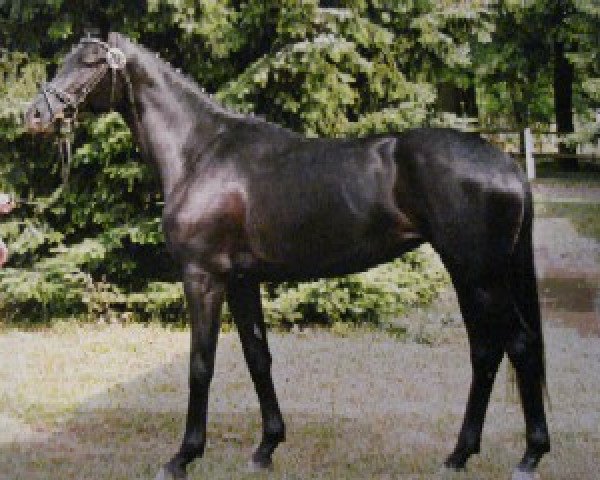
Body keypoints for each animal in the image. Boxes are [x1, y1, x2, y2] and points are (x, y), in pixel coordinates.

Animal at [25, 33, 552, 480]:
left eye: (90, 63)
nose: (34, 115)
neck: (201, 151)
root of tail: (505, 163)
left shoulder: (203, 276)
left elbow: (201, 363)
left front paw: (183, 457)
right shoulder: (242, 280)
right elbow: (258, 356)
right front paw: (266, 447)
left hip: (481, 276)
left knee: (520, 346)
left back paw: (529, 456)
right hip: (469, 275)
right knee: (486, 352)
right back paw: (459, 454)